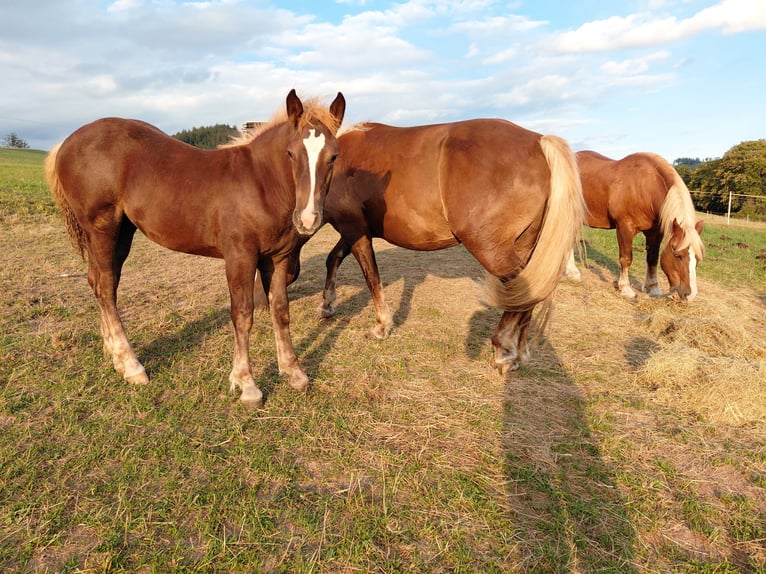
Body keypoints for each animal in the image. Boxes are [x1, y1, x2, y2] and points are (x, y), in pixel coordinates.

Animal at [45, 89, 346, 405]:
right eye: (290, 153)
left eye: (333, 156)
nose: (308, 219)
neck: (261, 183)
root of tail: (65, 143)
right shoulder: (240, 256)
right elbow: (242, 314)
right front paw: (246, 384)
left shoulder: (277, 258)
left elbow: (280, 310)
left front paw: (293, 372)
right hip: (101, 228)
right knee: (104, 286)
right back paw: (131, 365)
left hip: (122, 232)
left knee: (102, 282)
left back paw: (114, 354)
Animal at [318, 119, 585, 374]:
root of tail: (539, 141)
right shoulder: (352, 233)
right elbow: (333, 259)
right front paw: (327, 305)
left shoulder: (355, 231)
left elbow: (372, 277)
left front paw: (381, 326)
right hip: (523, 247)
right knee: (527, 294)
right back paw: (518, 353)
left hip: (492, 249)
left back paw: (504, 350)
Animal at [563, 150, 705, 301]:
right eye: (678, 255)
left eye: (698, 257)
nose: (690, 295)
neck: (646, 187)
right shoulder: (625, 227)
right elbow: (626, 258)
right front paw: (625, 288)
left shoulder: (655, 232)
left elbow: (652, 259)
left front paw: (653, 289)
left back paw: (572, 273)